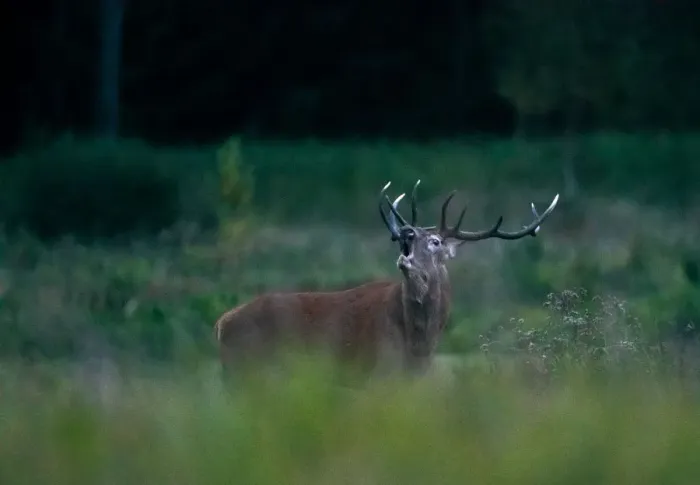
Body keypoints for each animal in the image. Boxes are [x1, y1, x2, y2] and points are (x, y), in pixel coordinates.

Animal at [215, 180, 559, 381]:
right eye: (411, 236)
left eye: (435, 241)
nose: (405, 232)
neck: (419, 343)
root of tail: (221, 324)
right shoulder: (378, 370)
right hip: (249, 369)